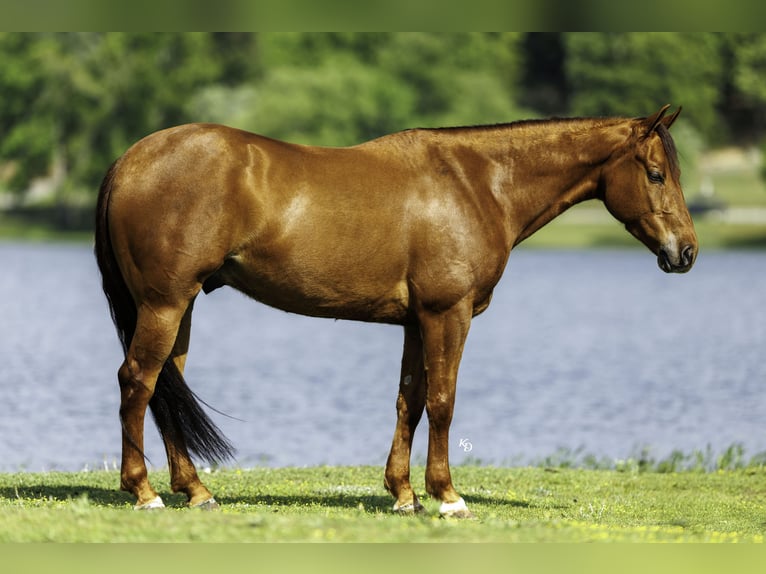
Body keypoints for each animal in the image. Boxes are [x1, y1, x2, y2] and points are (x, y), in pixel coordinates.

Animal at [94, 104, 697, 516]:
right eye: (656, 173)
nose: (686, 252)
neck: (476, 183)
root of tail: (129, 161)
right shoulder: (448, 314)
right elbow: (442, 402)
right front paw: (448, 497)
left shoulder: (416, 321)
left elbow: (409, 401)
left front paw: (404, 494)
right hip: (164, 303)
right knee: (138, 381)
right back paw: (144, 491)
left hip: (181, 306)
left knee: (167, 385)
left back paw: (196, 491)